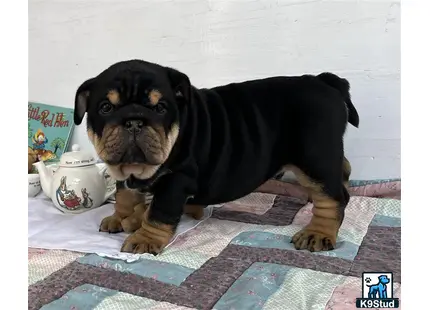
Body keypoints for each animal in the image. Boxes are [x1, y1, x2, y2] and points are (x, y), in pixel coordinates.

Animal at [74, 59, 360, 256]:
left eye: (161, 108)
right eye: (105, 107)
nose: (134, 121)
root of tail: (323, 80)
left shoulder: (177, 180)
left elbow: (158, 212)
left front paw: (145, 237)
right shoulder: (125, 172)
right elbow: (124, 193)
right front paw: (121, 216)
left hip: (314, 157)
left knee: (332, 197)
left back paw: (317, 233)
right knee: (342, 169)